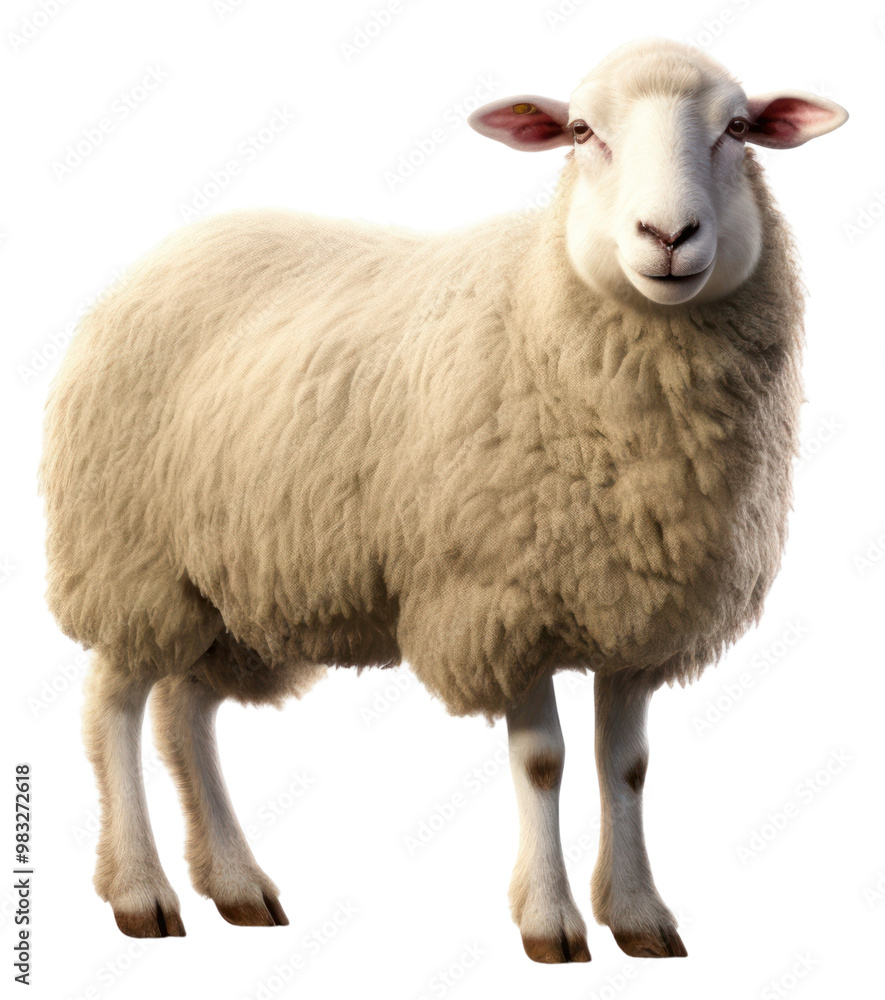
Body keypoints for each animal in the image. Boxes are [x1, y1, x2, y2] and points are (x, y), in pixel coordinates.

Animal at [40, 37, 847, 960]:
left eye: (737, 128)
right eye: (581, 132)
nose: (667, 236)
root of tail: (167, 249)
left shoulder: (633, 613)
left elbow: (626, 766)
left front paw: (639, 915)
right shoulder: (500, 602)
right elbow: (543, 762)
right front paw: (550, 923)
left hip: (233, 590)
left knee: (184, 714)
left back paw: (238, 885)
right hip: (130, 558)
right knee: (113, 706)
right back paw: (140, 893)